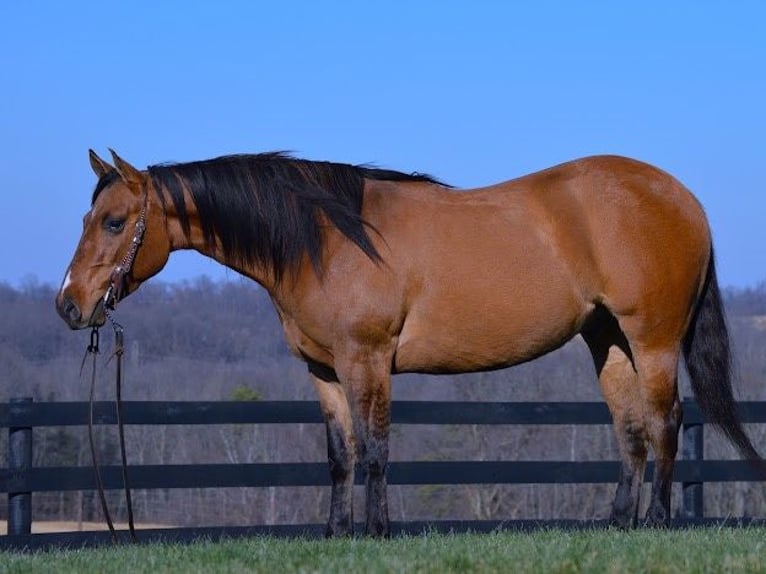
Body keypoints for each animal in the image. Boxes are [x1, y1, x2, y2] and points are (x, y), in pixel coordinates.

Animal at [55, 151, 760, 536]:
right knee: (630, 427)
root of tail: (682, 198)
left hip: (653, 337)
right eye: (86, 217)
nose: (69, 305)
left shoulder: (366, 359)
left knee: (666, 421)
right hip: (606, 338)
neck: (326, 239)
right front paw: (335, 533)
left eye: (114, 221)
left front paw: (376, 531)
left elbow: (375, 449)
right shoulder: (323, 370)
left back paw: (658, 522)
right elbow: (340, 454)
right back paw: (617, 523)